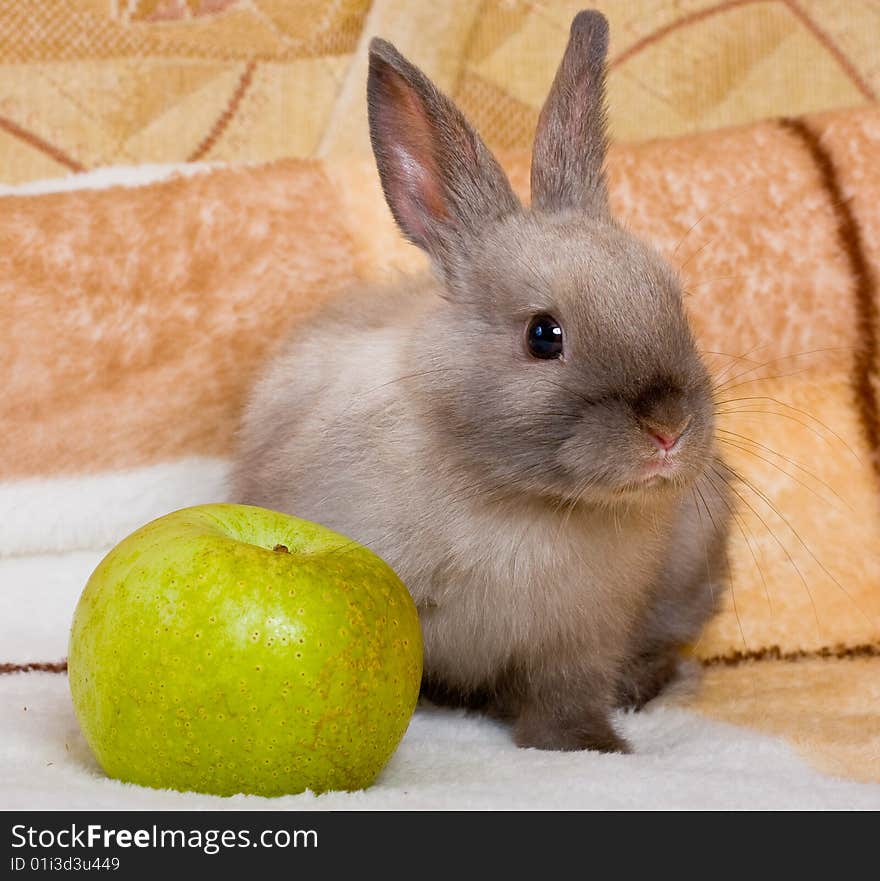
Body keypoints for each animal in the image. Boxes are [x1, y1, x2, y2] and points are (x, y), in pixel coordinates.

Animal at [232, 10, 728, 752]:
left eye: (674, 300)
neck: (519, 499)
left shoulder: (581, 637)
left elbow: (566, 695)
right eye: (544, 335)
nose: (668, 428)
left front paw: (589, 746)